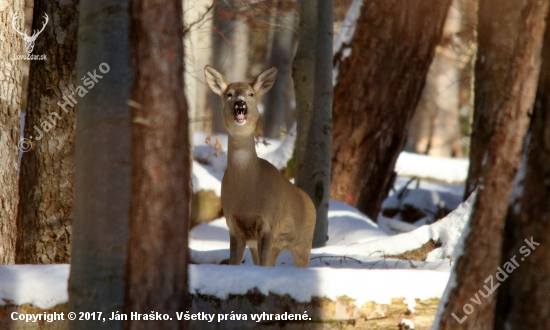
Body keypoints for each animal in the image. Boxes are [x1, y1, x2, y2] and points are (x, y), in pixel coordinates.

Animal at [206, 65, 320, 268]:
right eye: (229, 94)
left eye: (251, 94)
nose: (240, 104)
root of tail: (309, 201)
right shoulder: (234, 226)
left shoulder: (268, 223)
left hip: (304, 242)